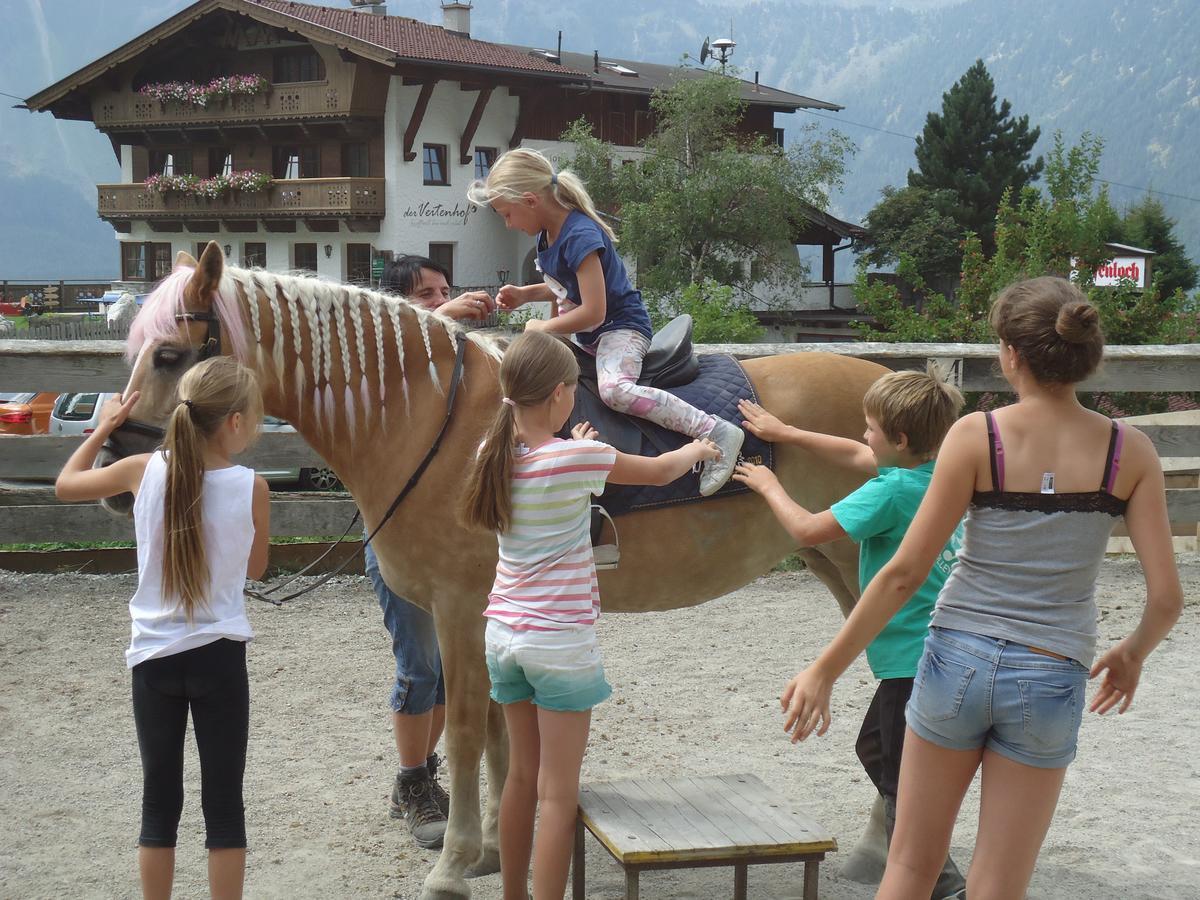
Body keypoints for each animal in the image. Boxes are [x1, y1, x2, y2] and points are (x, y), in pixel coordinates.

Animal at [105, 243, 892, 897]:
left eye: (170, 354)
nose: (118, 468)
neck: (433, 422)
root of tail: (888, 382)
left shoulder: (459, 605)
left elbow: (461, 728)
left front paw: (454, 865)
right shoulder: (479, 610)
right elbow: (492, 728)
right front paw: (492, 847)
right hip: (831, 563)